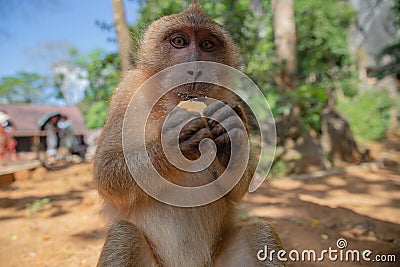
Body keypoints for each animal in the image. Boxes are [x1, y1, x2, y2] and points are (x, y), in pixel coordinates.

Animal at [94, 2, 284, 267]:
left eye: (207, 45)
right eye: (179, 41)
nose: (195, 68)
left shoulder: (230, 98)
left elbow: (237, 191)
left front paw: (231, 137)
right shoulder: (126, 92)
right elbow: (106, 172)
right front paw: (172, 144)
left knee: (260, 232)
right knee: (125, 235)